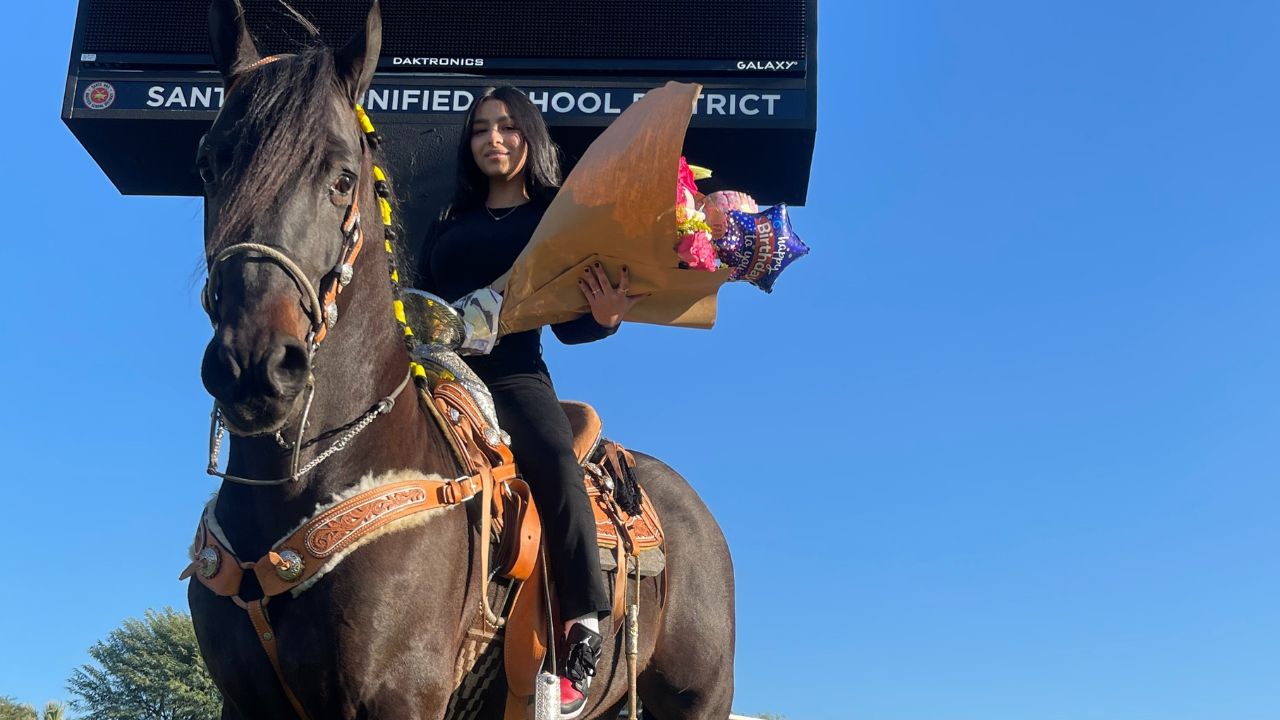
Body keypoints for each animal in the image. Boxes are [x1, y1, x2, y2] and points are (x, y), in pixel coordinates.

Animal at [187, 1, 735, 718]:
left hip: (701, 697)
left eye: (341, 178)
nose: (254, 365)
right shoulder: (247, 699)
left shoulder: (396, 695)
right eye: (209, 165)